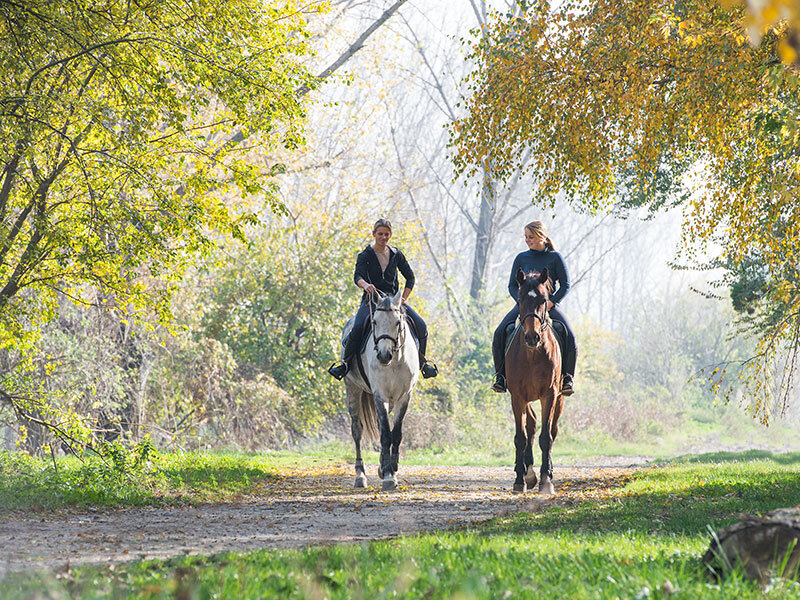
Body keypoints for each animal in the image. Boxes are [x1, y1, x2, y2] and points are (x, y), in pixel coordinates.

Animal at [340, 288, 422, 490]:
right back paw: (360, 475)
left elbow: (395, 433)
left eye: (397, 322)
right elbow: (385, 434)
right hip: (352, 389)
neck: (396, 361)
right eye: (374, 322)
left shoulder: (404, 397)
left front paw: (391, 468)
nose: (384, 355)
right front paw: (388, 476)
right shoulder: (380, 395)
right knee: (357, 430)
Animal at [506, 270, 564, 494]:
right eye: (520, 299)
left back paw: (546, 472)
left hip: (559, 398)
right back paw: (527, 473)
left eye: (543, 300)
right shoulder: (517, 396)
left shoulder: (550, 394)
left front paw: (546, 481)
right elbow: (520, 437)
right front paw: (519, 480)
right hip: (526, 399)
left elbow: (546, 438)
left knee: (552, 431)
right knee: (530, 426)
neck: (532, 355)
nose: (532, 337)